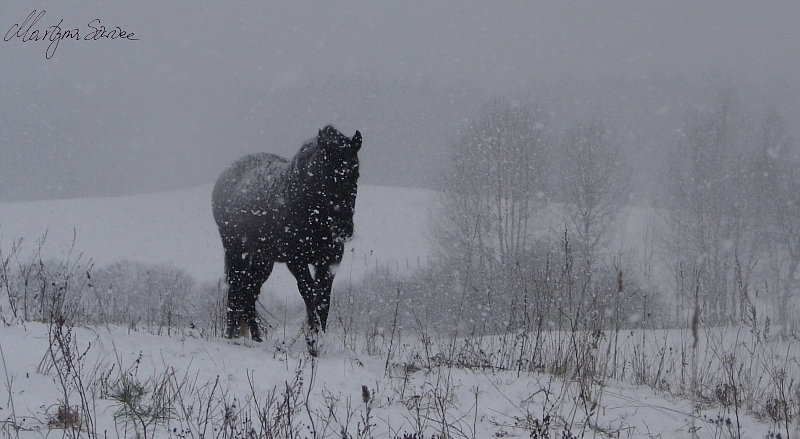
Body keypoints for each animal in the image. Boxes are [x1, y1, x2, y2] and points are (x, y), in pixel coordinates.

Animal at [212, 126, 362, 354]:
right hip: (235, 251)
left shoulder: (330, 261)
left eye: (356, 173)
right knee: (235, 288)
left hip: (263, 261)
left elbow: (323, 298)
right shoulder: (296, 260)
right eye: (326, 173)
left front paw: (318, 342)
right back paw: (231, 336)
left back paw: (257, 339)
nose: (343, 228)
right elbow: (309, 293)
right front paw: (313, 340)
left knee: (249, 292)